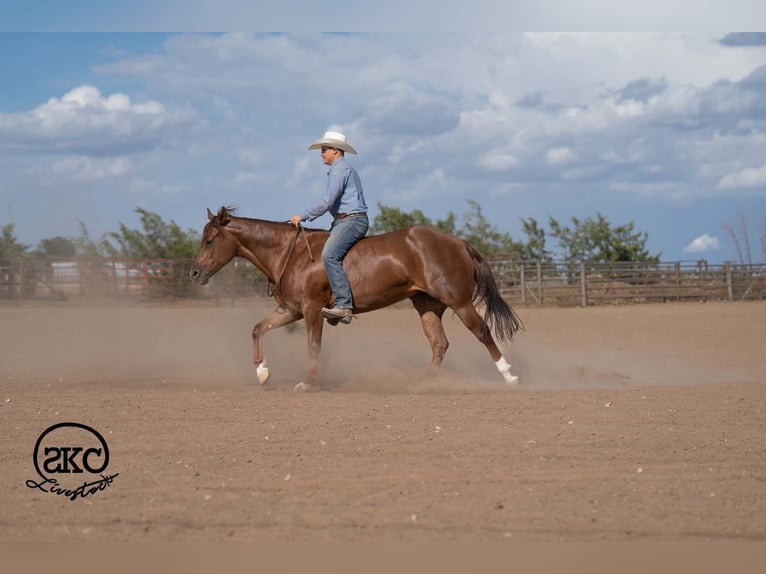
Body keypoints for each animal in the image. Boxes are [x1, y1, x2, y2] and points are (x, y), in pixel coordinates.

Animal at [189, 206, 523, 391]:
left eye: (210, 240)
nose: (194, 272)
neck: (291, 254)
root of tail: (458, 242)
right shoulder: (291, 310)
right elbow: (258, 329)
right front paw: (262, 373)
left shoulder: (311, 309)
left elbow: (313, 346)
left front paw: (309, 384)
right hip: (427, 305)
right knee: (439, 343)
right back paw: (421, 382)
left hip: (459, 302)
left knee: (482, 331)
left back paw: (509, 376)